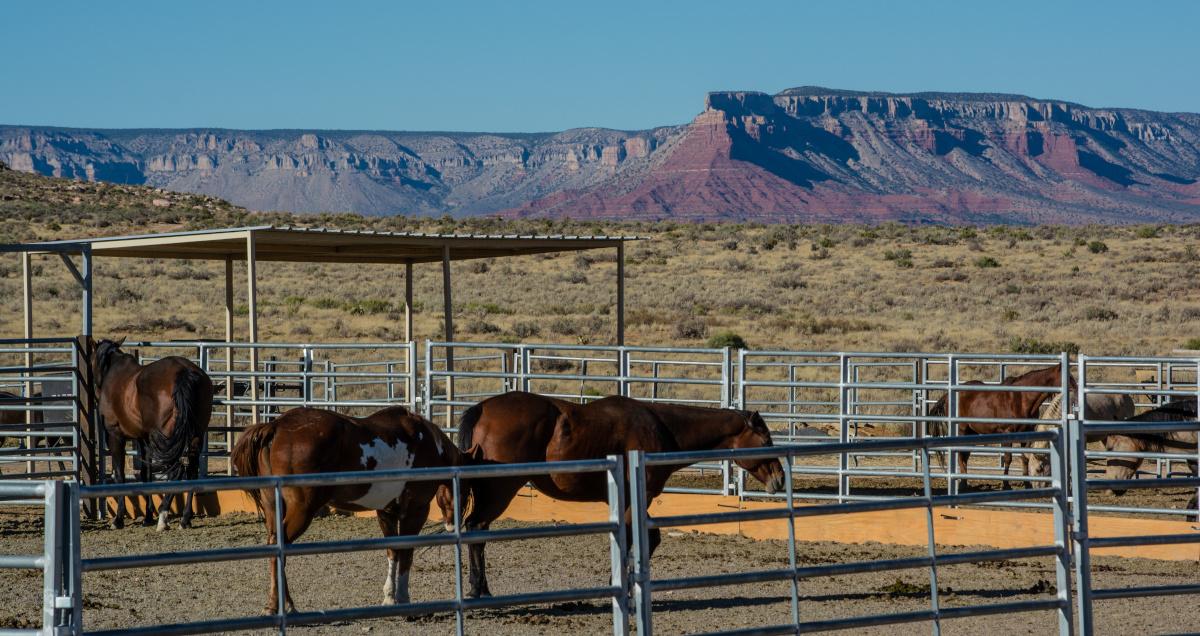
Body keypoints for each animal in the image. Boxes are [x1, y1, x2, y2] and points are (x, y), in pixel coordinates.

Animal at [94, 336, 217, 530]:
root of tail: (185, 371)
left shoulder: (115, 436)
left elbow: (120, 476)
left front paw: (119, 519)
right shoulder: (144, 440)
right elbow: (147, 474)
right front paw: (147, 517)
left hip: (167, 440)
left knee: (176, 471)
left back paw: (163, 515)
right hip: (195, 435)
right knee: (191, 471)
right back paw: (185, 519)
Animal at [231, 403, 465, 612]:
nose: (453, 525)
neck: (426, 443)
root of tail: (276, 426)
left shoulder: (387, 511)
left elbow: (393, 551)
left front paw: (390, 597)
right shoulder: (415, 511)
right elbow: (406, 552)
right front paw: (403, 598)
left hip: (273, 507)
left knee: (274, 545)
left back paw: (280, 604)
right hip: (301, 511)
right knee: (280, 546)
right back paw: (281, 605)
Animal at [439, 386, 787, 600]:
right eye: (766, 439)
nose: (780, 478)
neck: (660, 428)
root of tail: (483, 409)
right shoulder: (638, 496)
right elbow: (643, 537)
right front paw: (623, 584)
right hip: (499, 490)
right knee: (477, 530)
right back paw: (479, 589)